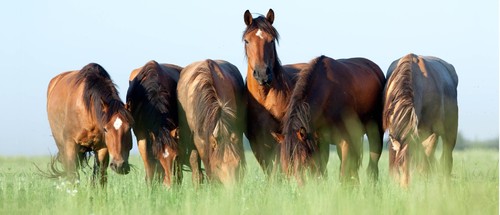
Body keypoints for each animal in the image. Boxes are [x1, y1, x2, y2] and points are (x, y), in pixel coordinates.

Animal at [276, 55, 384, 185]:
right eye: (285, 165)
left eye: (303, 160)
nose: (297, 188)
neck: (327, 95)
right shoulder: (319, 142)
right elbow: (322, 171)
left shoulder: (345, 142)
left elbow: (343, 174)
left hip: (375, 133)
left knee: (372, 165)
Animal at [384, 53, 458, 186]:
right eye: (400, 166)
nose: (406, 188)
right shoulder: (394, 131)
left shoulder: (431, 133)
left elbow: (424, 164)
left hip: (449, 133)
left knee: (446, 160)